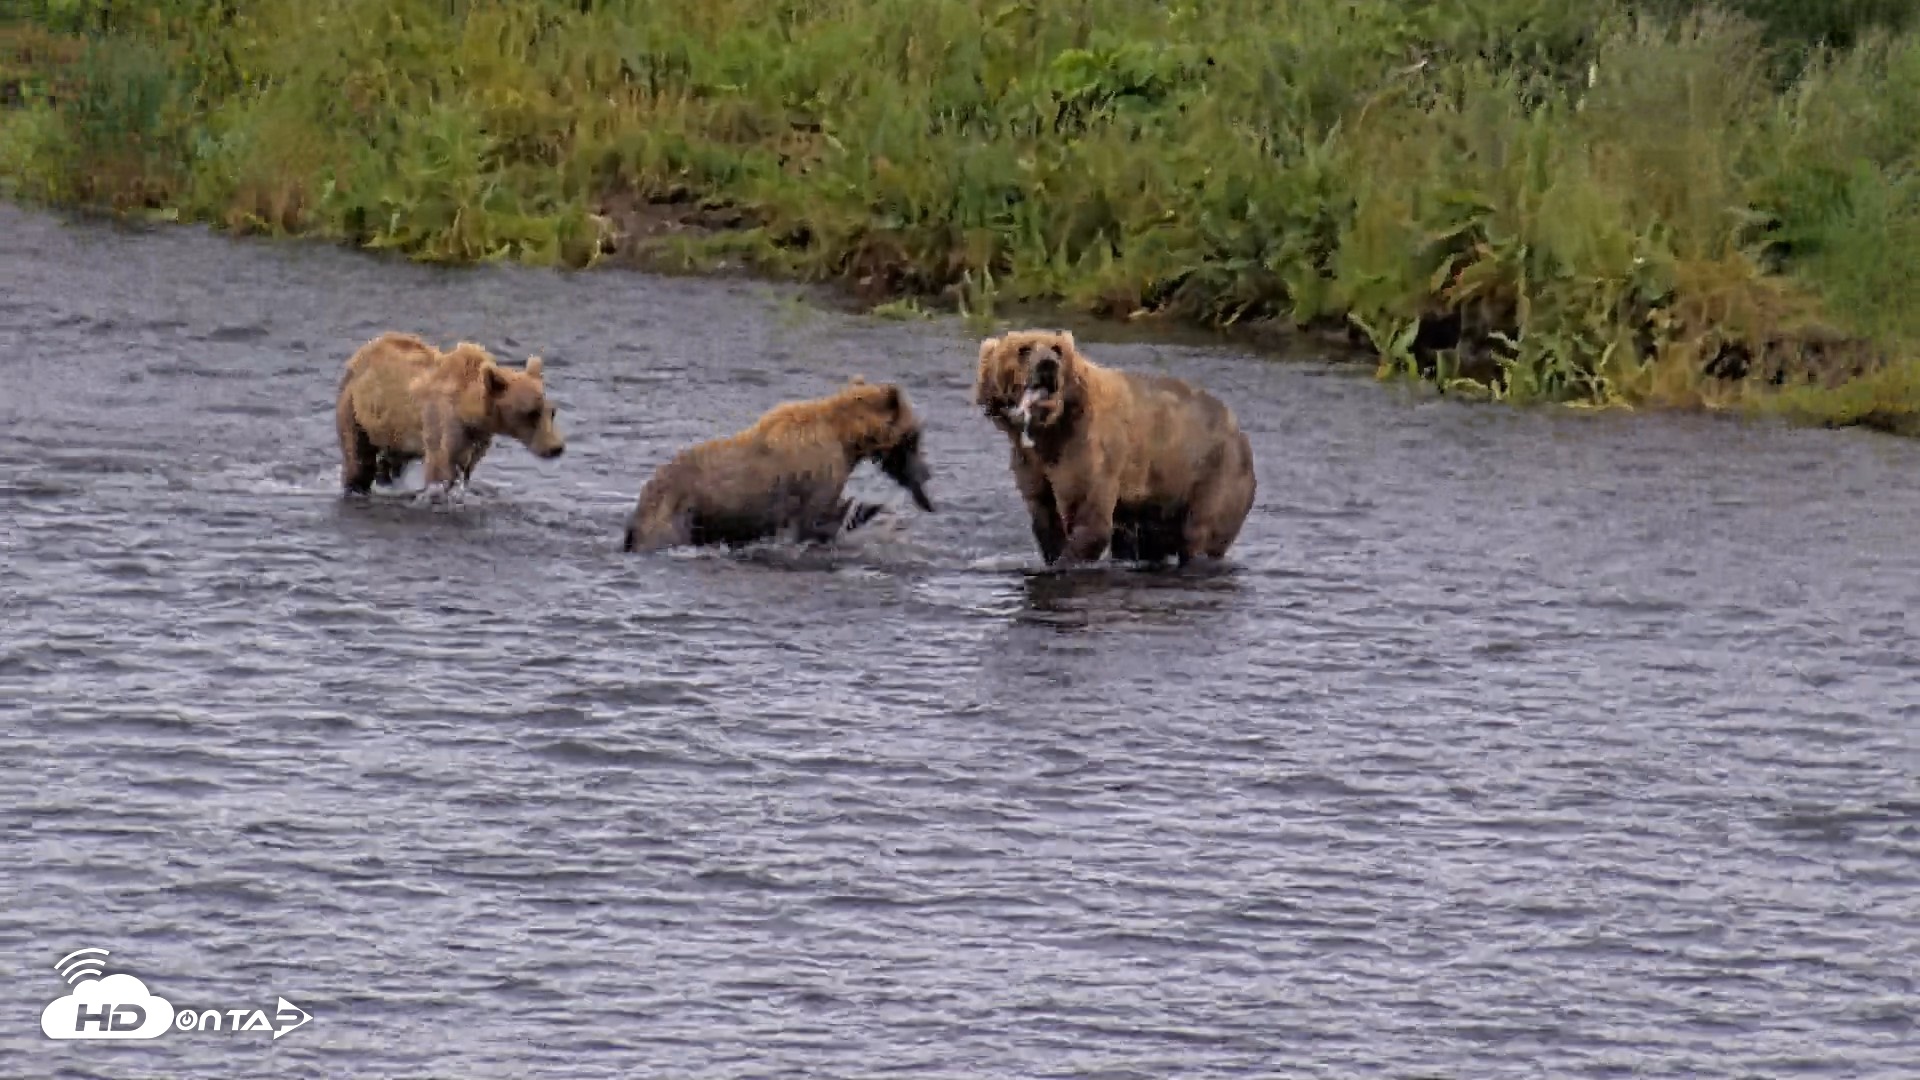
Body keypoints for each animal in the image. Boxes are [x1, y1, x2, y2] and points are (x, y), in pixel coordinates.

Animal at [334, 331, 565, 503]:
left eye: (551, 412)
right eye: (530, 413)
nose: (556, 448)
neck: (469, 411)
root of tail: (363, 351)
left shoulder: (477, 438)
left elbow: (465, 468)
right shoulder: (442, 422)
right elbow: (441, 469)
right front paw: (439, 493)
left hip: (392, 429)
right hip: (354, 408)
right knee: (358, 458)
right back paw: (356, 486)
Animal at [621, 376, 934, 553]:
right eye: (915, 435)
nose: (927, 472)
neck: (846, 439)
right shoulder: (818, 473)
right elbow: (817, 522)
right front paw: (864, 509)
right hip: (674, 516)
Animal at [972, 328, 1256, 566]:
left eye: (1057, 349)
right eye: (1023, 349)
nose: (1047, 365)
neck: (1051, 429)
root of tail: (1240, 433)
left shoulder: (1089, 450)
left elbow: (1089, 516)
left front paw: (1067, 560)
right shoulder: (1030, 461)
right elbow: (1044, 512)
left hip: (1211, 474)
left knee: (1201, 533)